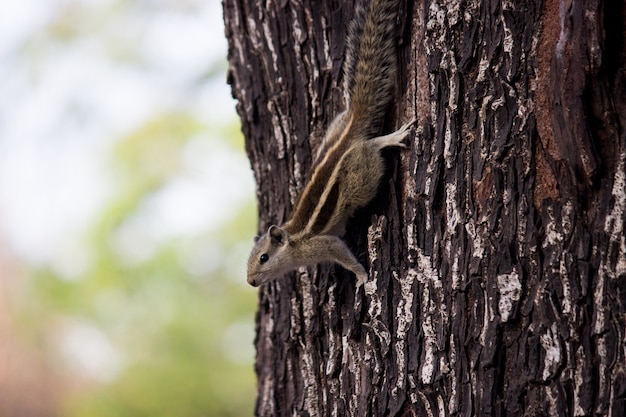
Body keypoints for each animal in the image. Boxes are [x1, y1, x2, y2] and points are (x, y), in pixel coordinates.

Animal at [246, 0, 412, 286]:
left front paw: (361, 276)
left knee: (371, 147)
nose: (251, 281)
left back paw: (390, 138)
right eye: (249, 260)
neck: (293, 241)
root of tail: (350, 128)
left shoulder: (322, 244)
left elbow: (342, 253)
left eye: (264, 258)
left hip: (360, 176)